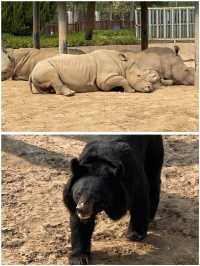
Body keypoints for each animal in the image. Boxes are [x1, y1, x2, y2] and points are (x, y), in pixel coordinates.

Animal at [29, 49, 161, 96]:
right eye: (139, 75)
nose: (149, 88)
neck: (124, 65)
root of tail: (31, 72)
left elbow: (119, 81)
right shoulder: (105, 79)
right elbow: (122, 79)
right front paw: (131, 91)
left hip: (39, 69)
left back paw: (50, 91)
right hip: (44, 67)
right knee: (53, 77)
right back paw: (70, 93)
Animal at [63, 136, 163, 264]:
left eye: (96, 196)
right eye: (78, 194)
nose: (81, 210)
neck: (100, 165)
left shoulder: (131, 176)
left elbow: (139, 200)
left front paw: (135, 234)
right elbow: (80, 226)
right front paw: (79, 258)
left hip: (153, 150)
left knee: (153, 179)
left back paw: (150, 217)